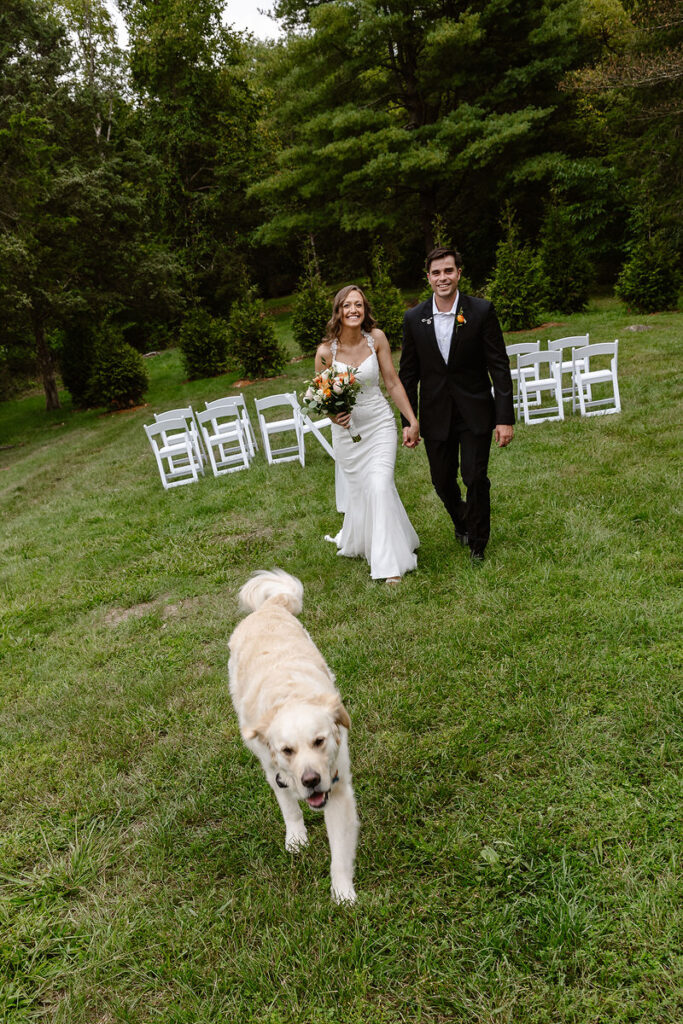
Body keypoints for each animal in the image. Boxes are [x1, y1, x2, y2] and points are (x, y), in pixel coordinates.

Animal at [228, 569, 360, 905]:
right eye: (287, 750)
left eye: (319, 741)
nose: (311, 780)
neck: (291, 697)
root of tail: (268, 607)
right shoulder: (274, 770)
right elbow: (289, 807)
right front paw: (296, 837)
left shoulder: (337, 787)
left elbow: (340, 853)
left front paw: (343, 894)